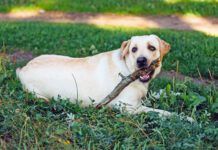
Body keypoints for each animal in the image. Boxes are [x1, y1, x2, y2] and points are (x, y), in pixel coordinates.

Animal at [16, 34, 187, 119]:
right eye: (134, 49)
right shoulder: (128, 108)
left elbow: (159, 95)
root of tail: (23, 69)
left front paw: (178, 94)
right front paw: (185, 118)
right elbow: (161, 112)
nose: (141, 61)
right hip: (38, 94)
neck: (128, 69)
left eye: (152, 48)